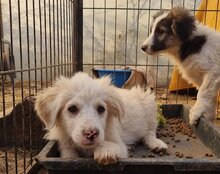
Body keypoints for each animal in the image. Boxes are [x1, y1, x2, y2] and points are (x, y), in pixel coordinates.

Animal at [34, 72, 167, 164]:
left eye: (101, 109)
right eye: (72, 108)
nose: (91, 133)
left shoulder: (120, 145)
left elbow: (109, 144)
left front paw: (106, 151)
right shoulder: (65, 143)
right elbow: (69, 154)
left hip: (149, 105)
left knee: (149, 133)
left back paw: (157, 144)